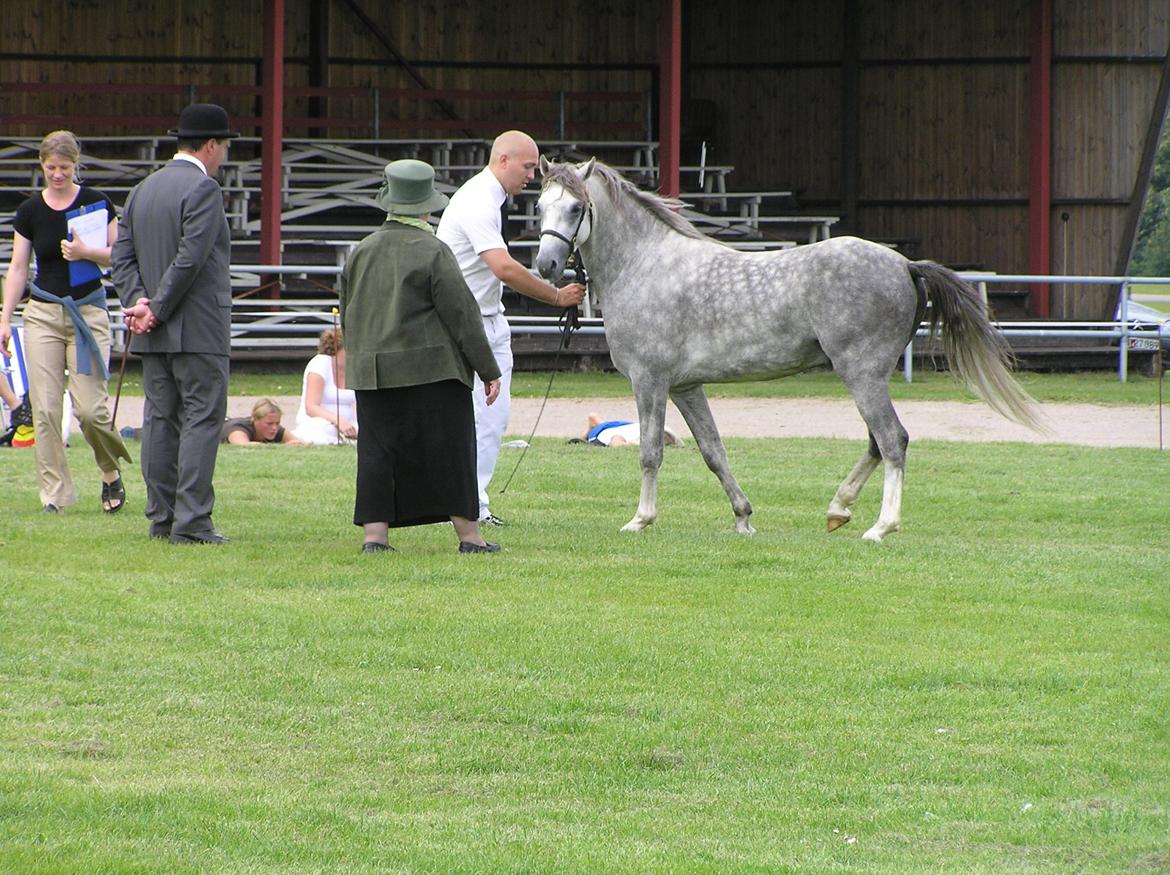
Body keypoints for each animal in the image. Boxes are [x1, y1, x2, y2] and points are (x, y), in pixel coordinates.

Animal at [533, 156, 1043, 540]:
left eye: (576, 208)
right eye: (539, 205)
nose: (545, 265)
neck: (645, 265)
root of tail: (904, 264)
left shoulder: (650, 382)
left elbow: (650, 453)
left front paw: (640, 520)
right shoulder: (686, 387)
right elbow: (714, 451)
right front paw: (742, 517)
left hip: (861, 374)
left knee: (892, 440)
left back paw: (881, 526)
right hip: (865, 376)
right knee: (876, 443)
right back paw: (839, 508)